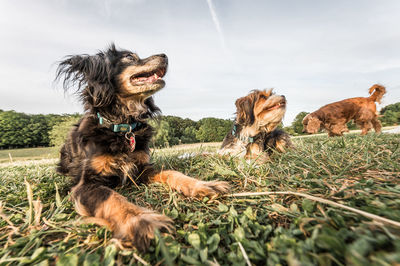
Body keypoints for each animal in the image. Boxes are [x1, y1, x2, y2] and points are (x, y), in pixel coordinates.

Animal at [55, 44, 228, 250]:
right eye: (130, 57)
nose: (165, 56)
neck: (123, 126)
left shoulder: (141, 169)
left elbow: (171, 172)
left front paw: (202, 184)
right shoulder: (86, 184)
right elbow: (111, 197)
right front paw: (141, 220)